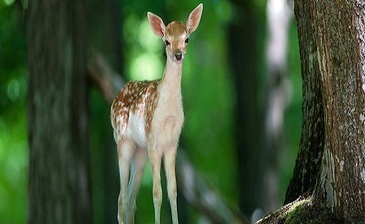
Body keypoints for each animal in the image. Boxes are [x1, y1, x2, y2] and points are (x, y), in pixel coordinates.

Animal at [109, 3, 203, 224]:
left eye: (186, 38)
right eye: (166, 41)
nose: (178, 54)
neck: (167, 112)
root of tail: (115, 98)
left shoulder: (172, 143)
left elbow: (173, 191)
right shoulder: (153, 141)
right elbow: (157, 193)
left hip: (140, 151)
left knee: (130, 201)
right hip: (123, 141)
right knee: (121, 201)